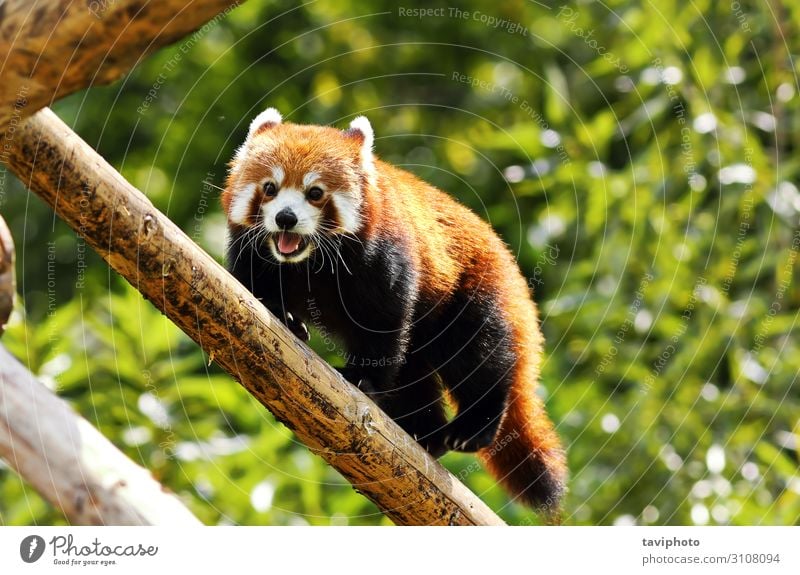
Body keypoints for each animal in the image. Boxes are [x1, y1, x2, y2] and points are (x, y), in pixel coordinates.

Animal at [222, 108, 564, 512]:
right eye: (270, 188)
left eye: (315, 193)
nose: (285, 218)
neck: (309, 259)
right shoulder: (253, 249)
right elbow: (251, 288)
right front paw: (285, 317)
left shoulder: (382, 255)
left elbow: (382, 323)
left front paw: (361, 379)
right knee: (415, 373)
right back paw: (424, 433)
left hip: (475, 289)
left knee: (480, 357)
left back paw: (473, 427)